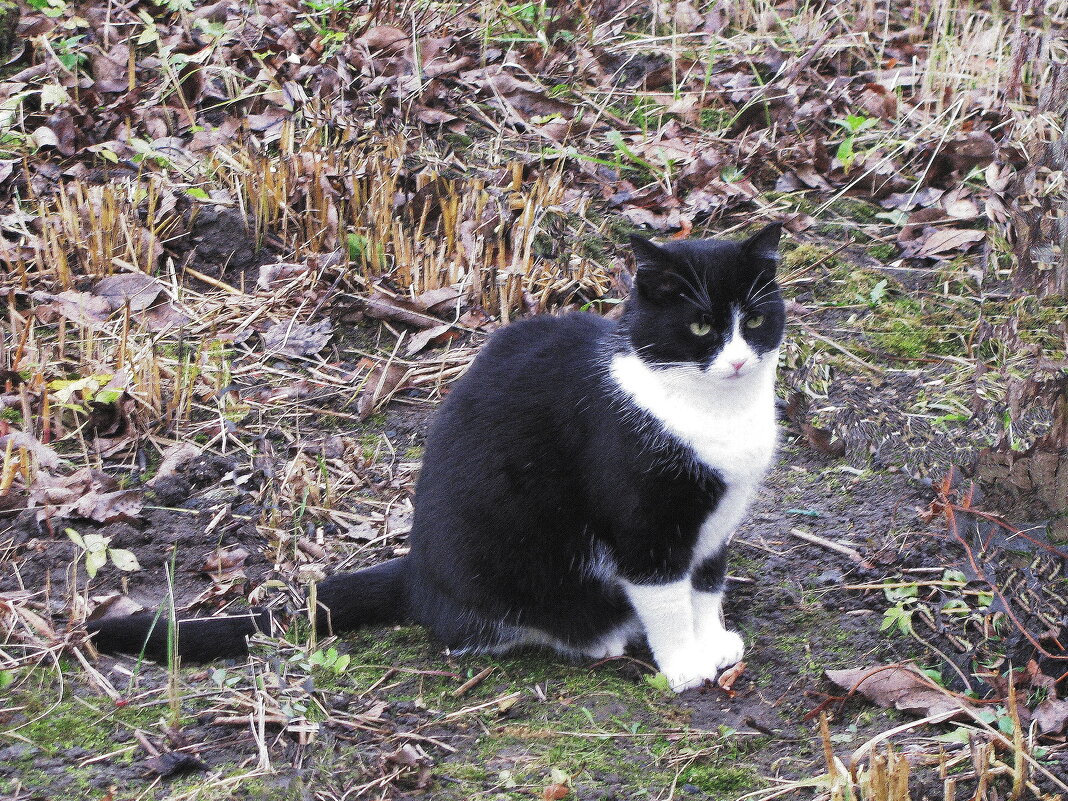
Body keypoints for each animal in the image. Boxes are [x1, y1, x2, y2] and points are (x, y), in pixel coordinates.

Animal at [89, 223, 786, 692]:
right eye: (700, 327)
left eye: (754, 319)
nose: (737, 360)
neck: (715, 413)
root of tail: (418, 572)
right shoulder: (644, 522)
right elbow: (667, 597)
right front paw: (686, 665)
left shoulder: (715, 524)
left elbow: (706, 584)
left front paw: (714, 642)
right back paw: (601, 639)